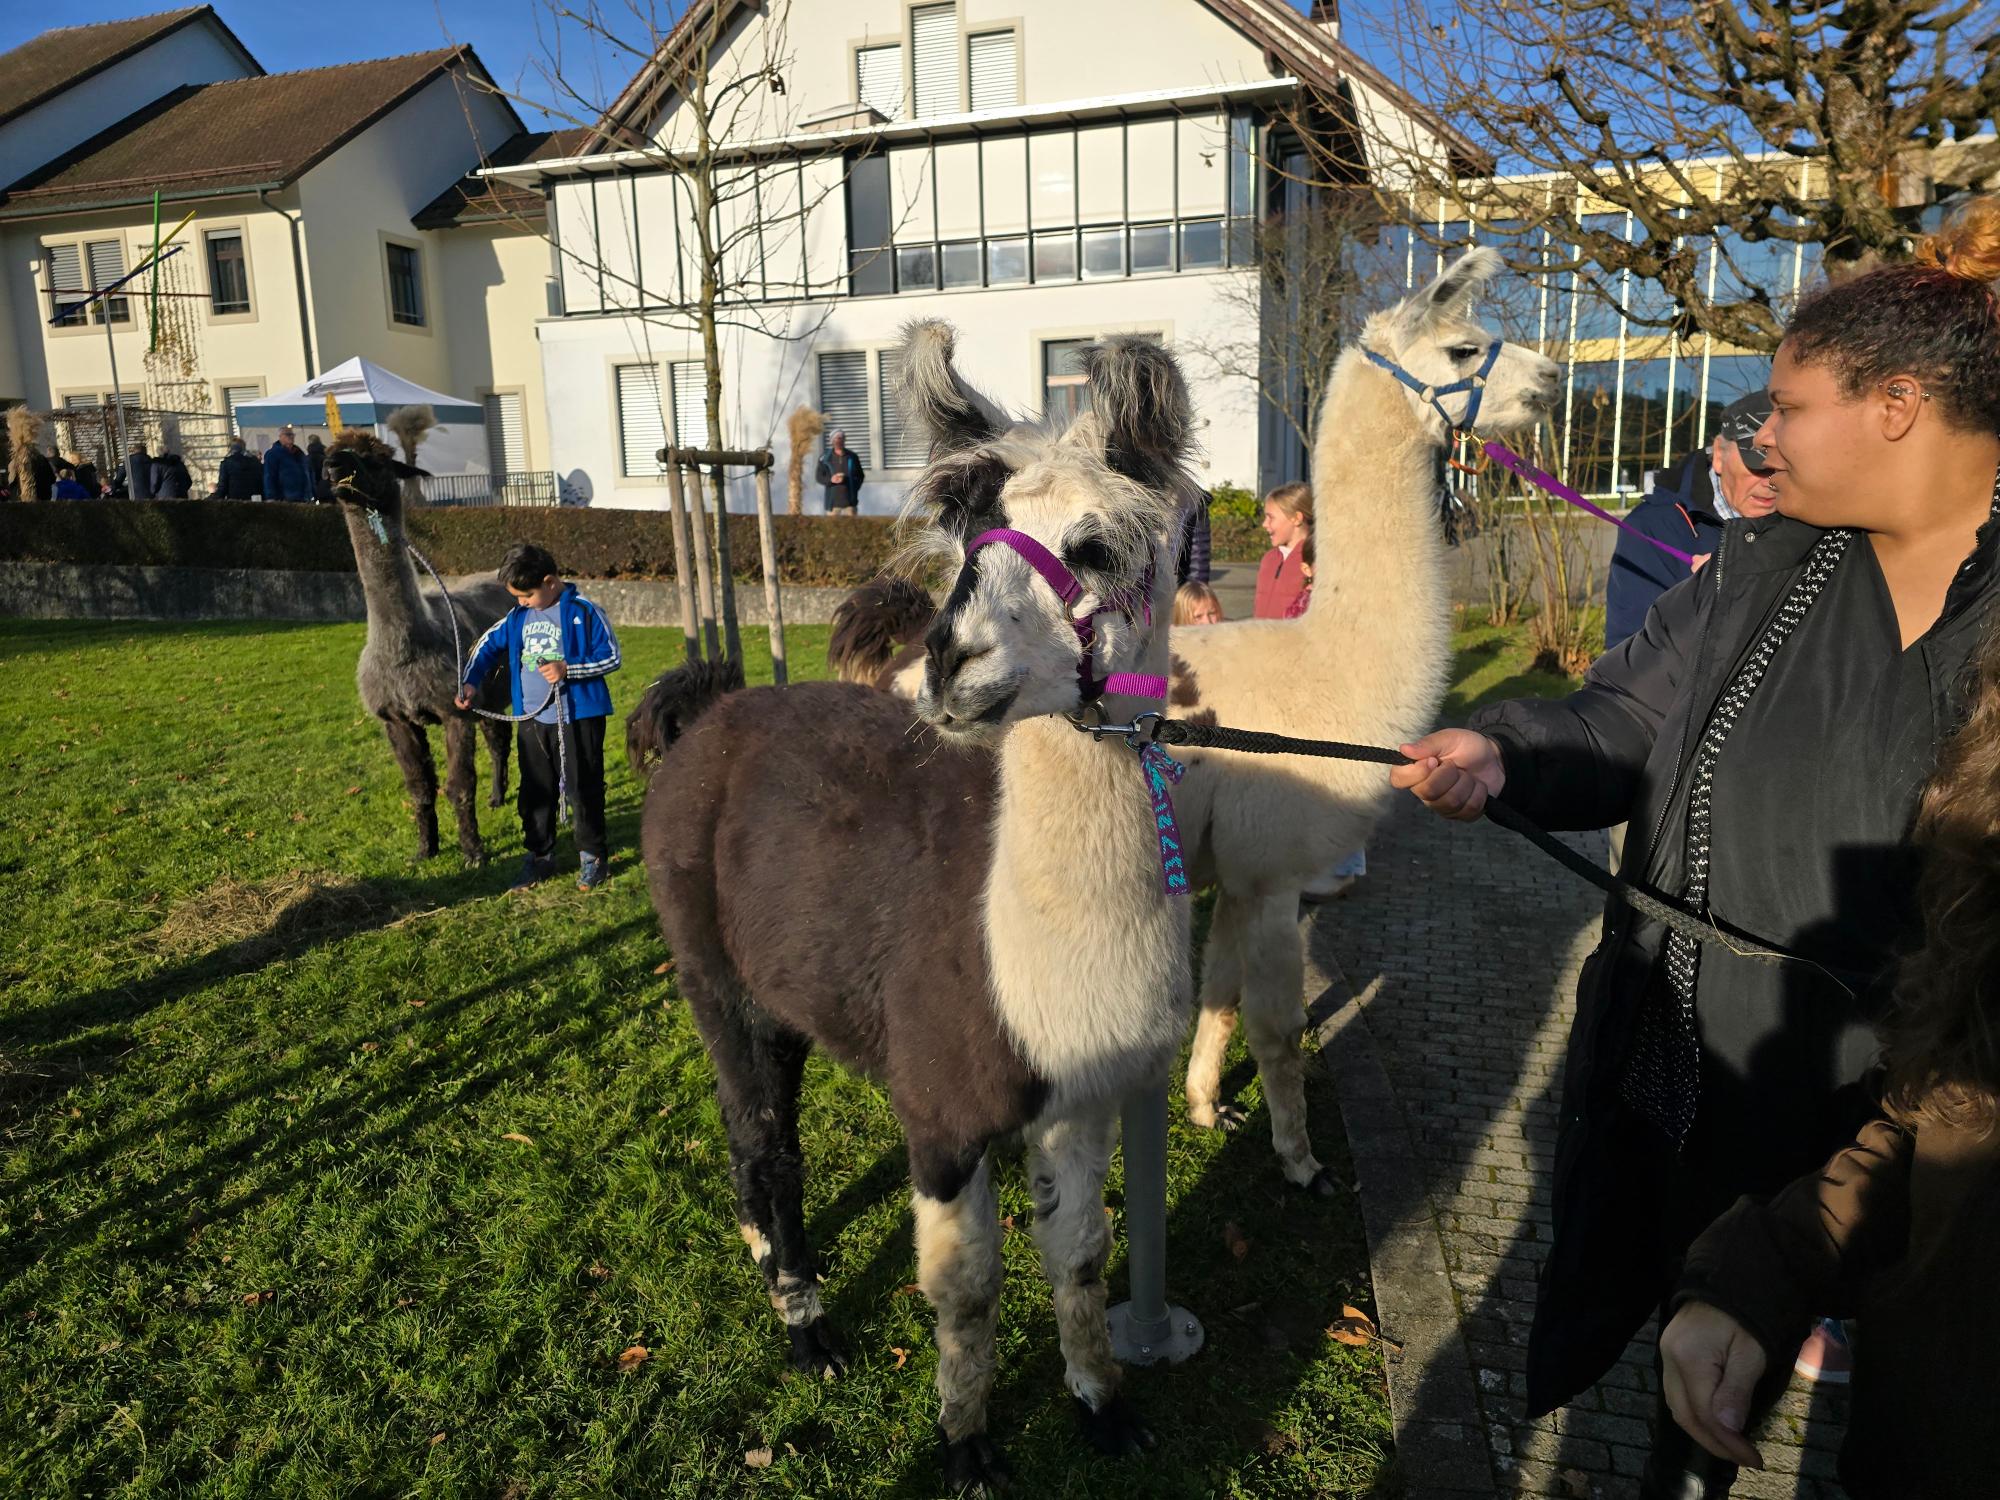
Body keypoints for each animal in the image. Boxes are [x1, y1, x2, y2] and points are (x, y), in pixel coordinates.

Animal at [325, 418, 513, 863]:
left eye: (377, 459)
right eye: (329, 453)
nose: (335, 467)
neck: (403, 650)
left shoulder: (453, 711)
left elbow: (459, 785)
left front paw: (473, 851)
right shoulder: (395, 718)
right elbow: (419, 788)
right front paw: (425, 849)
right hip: (488, 694)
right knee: (496, 738)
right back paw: (497, 797)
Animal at [627, 321, 1196, 1492]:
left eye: (1094, 548)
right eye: (971, 540)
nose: (948, 659)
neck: (1018, 953)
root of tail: (712, 711)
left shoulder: (1077, 1096)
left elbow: (1079, 1258)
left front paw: (1102, 1408)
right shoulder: (940, 1107)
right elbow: (965, 1287)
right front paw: (968, 1444)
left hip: (785, 989)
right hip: (706, 964)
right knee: (763, 1145)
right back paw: (806, 1330)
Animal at [1168, 248, 1561, 1190]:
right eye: (1464, 347)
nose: (1554, 378)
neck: (1332, 669)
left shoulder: (1240, 871)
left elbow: (1219, 999)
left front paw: (1207, 1108)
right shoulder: (1276, 874)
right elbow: (1279, 1030)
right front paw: (1301, 1161)